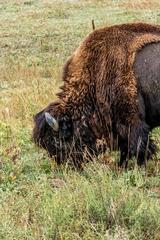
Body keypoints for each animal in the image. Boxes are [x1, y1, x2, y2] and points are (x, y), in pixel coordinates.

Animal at [32, 23, 160, 168]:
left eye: (57, 141)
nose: (66, 166)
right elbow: (125, 150)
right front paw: (121, 166)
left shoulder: (133, 123)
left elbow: (139, 148)